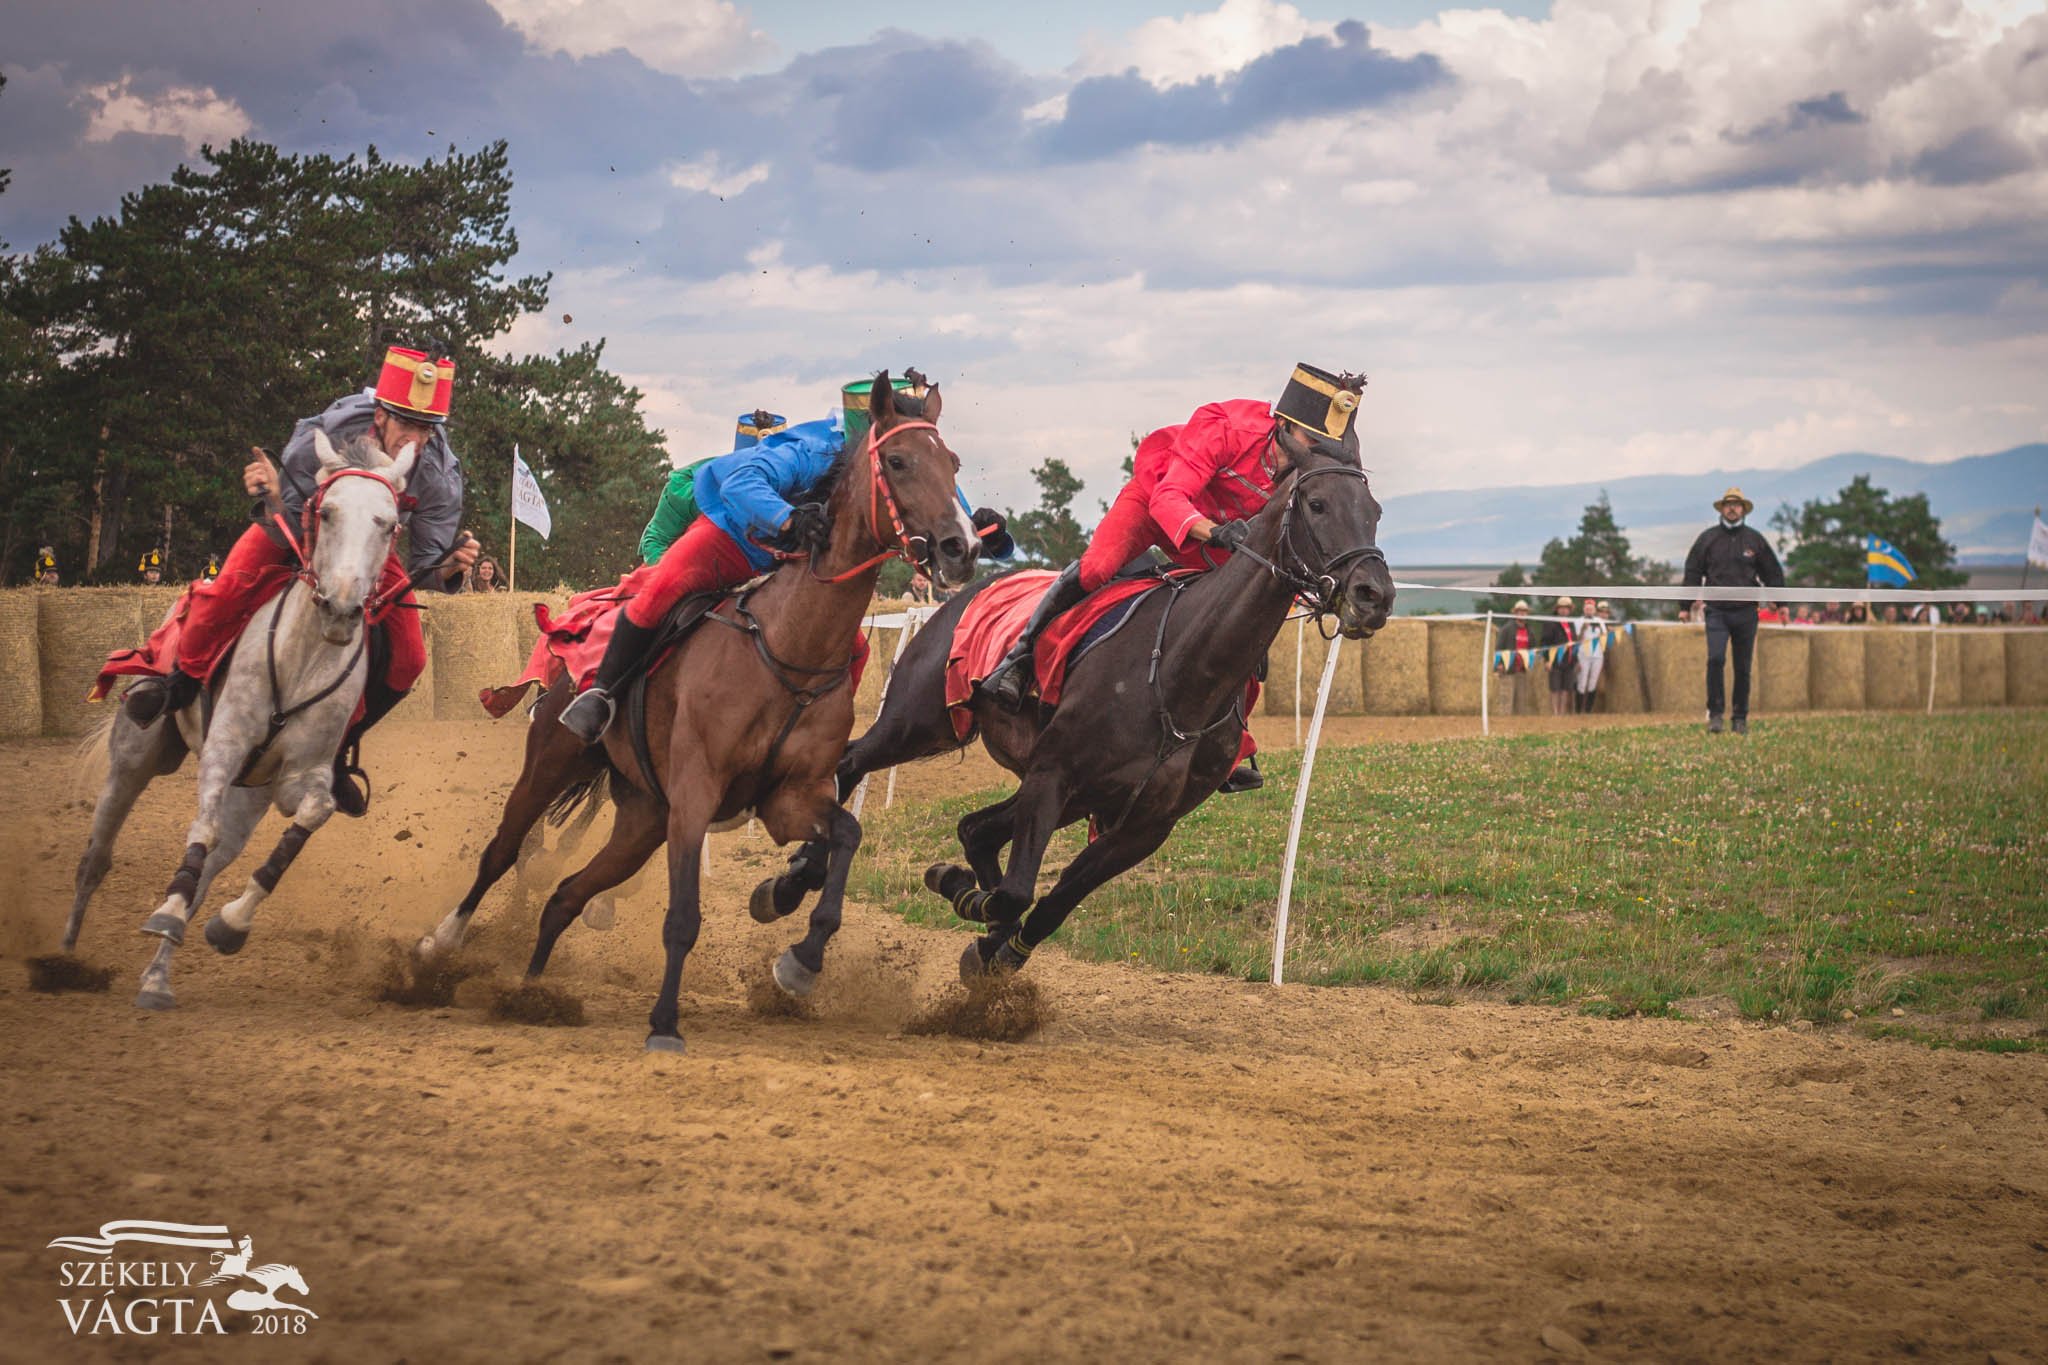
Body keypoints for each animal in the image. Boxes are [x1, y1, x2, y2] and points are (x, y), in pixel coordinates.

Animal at [64, 431, 417, 1010]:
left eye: (388, 523)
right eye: (327, 511)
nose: (342, 607)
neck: (303, 658)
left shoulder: (302, 777)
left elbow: (311, 814)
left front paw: (230, 924)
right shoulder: (223, 746)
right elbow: (200, 826)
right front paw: (169, 911)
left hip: (248, 796)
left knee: (207, 867)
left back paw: (157, 976)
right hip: (134, 759)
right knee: (98, 856)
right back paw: (67, 956)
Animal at [419, 374, 978, 1055]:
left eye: (953, 464)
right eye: (898, 461)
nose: (962, 547)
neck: (787, 648)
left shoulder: (788, 797)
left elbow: (847, 836)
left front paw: (801, 959)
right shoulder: (695, 794)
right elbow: (682, 916)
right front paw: (664, 1023)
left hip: (641, 819)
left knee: (565, 896)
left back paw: (527, 993)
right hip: (552, 764)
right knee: (501, 853)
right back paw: (441, 942)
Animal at [761, 437, 1400, 982]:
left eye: (1374, 510)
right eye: (1316, 503)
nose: (1374, 594)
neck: (1181, 673)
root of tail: (959, 596)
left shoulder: (1144, 824)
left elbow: (1051, 901)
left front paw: (994, 946)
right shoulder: (1053, 776)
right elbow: (1017, 892)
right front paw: (969, 900)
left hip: (1068, 791)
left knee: (976, 828)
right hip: (919, 724)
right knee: (851, 761)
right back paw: (795, 881)